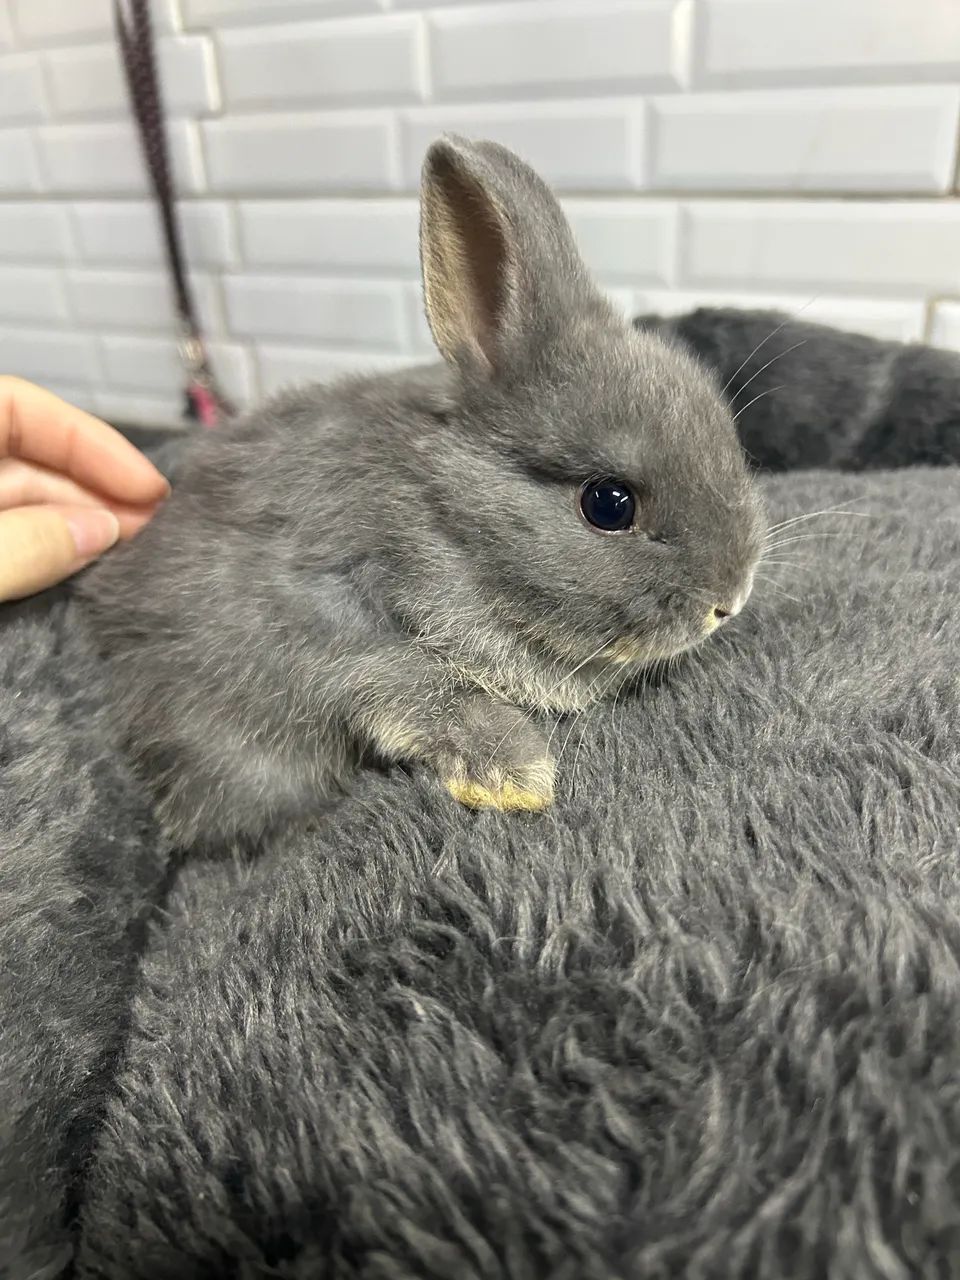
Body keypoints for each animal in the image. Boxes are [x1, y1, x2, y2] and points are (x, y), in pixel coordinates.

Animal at [79, 135, 765, 849]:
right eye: (609, 504)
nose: (730, 601)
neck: (448, 523)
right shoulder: (332, 633)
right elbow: (412, 684)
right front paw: (517, 778)